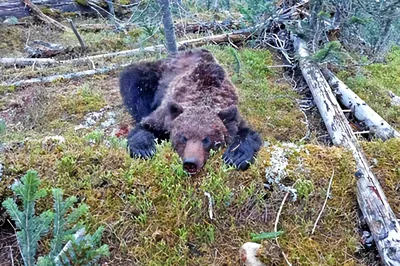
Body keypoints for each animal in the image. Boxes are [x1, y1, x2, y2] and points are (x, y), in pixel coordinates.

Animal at [119, 48, 262, 174]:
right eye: (183, 137)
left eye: (206, 139)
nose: (190, 162)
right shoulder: (166, 114)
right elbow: (146, 126)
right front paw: (144, 149)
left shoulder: (232, 113)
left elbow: (248, 134)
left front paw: (236, 157)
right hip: (155, 74)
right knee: (134, 81)